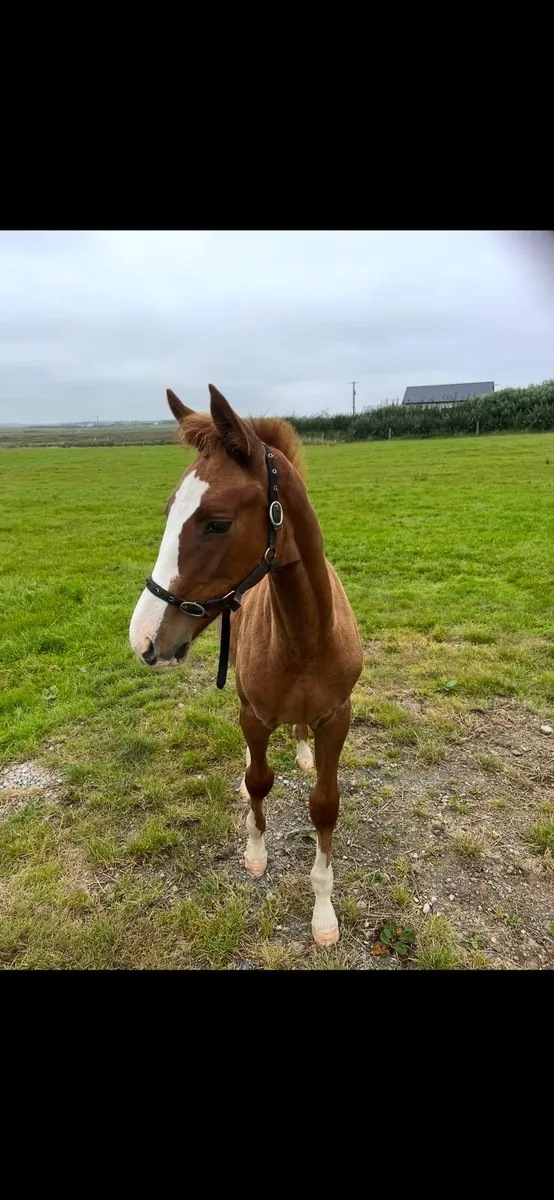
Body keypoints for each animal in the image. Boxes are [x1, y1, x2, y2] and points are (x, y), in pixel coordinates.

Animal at [129, 385, 363, 946]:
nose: (143, 639)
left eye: (216, 523)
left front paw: (324, 914)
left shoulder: (337, 718)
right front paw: (256, 854)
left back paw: (301, 752)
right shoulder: (254, 716)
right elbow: (259, 782)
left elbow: (325, 804)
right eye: (169, 510)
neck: (303, 641)